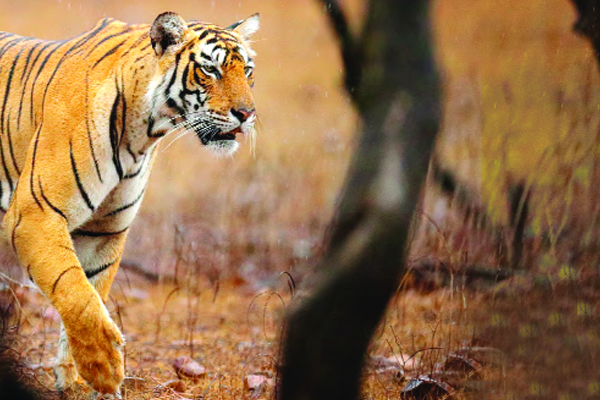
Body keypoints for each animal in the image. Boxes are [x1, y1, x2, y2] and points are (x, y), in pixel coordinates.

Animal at [0, 10, 258, 396]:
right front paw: (106, 364)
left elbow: (92, 290)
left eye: (248, 70)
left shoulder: (103, 229)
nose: (247, 113)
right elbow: (75, 292)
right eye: (210, 69)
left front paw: (78, 380)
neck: (143, 134)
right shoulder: (35, 213)